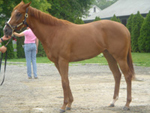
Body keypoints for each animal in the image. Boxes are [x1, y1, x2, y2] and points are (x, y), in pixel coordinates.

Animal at [3, 1, 135, 112]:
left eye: (18, 14)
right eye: (12, 13)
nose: (6, 31)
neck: (54, 32)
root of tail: (124, 28)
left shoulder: (63, 61)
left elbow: (64, 82)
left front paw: (63, 106)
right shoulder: (57, 62)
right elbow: (65, 80)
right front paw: (70, 104)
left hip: (120, 58)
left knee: (127, 76)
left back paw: (127, 104)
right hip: (109, 56)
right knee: (117, 75)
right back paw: (112, 102)